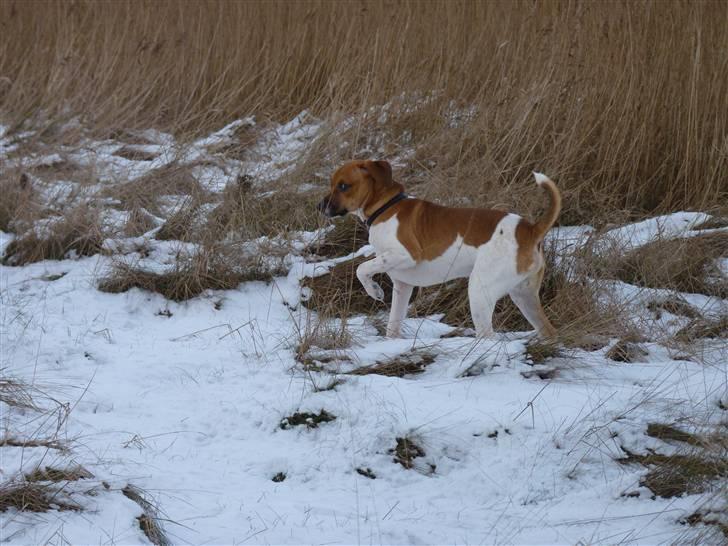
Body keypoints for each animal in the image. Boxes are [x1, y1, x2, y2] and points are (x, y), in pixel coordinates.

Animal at [316, 158, 560, 336]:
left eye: (343, 186)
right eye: (332, 184)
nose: (319, 206)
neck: (385, 208)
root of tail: (529, 229)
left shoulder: (406, 254)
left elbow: (362, 269)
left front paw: (374, 291)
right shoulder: (403, 285)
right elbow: (393, 326)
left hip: (480, 291)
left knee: (488, 337)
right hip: (523, 295)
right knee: (548, 331)